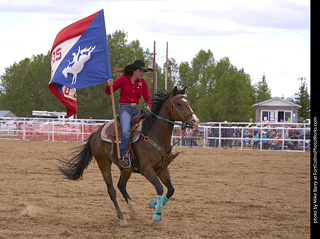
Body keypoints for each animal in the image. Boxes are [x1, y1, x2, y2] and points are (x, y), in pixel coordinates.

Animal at [56, 86, 199, 226]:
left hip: (126, 168)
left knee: (121, 186)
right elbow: (159, 188)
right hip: (104, 164)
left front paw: (154, 204)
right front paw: (157, 215)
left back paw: (133, 211)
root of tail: (96, 133)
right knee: (112, 190)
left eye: (188, 102)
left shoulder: (163, 169)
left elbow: (170, 190)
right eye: (179, 103)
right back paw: (121, 218)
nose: (195, 121)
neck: (154, 135)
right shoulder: (147, 170)